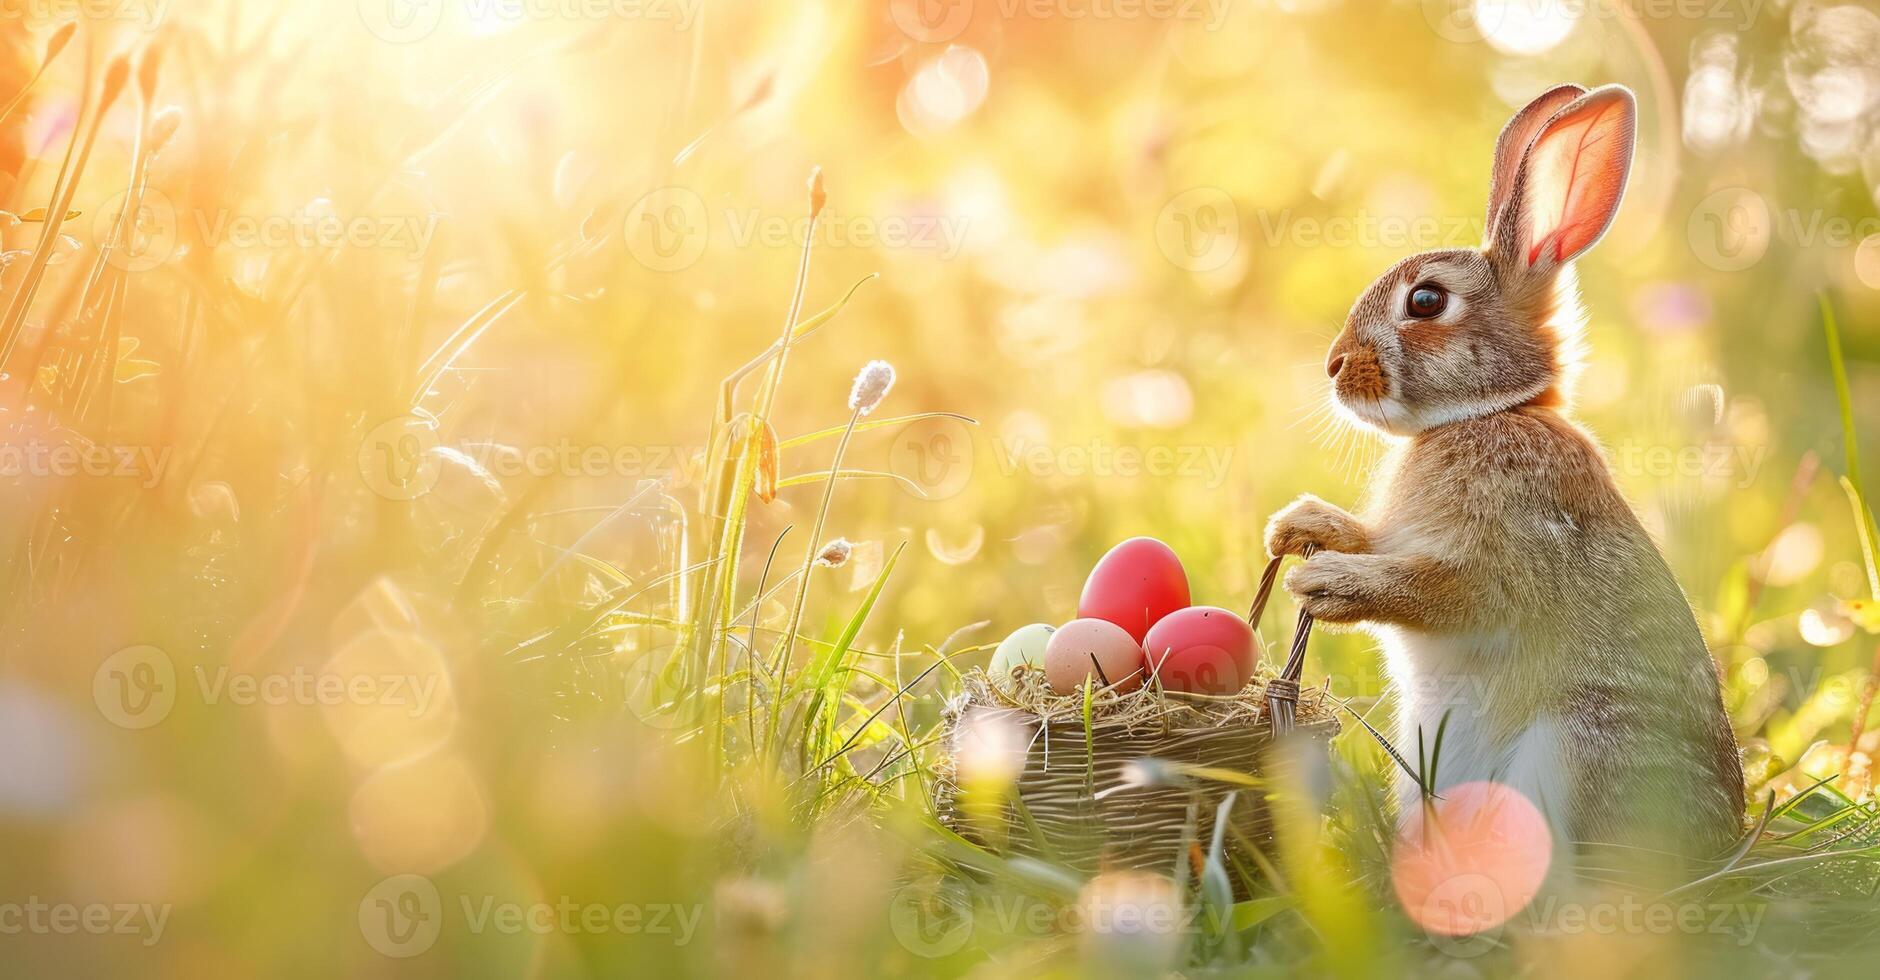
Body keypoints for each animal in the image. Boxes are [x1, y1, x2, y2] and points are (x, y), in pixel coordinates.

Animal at [1270, 84, 1737, 857]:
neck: (1486, 413)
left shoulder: (1505, 555)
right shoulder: (1401, 535)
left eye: (1426, 300)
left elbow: (1443, 590)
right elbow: (1373, 539)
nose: (1334, 366)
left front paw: (1326, 585)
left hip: (1572, 753)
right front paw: (1297, 527)